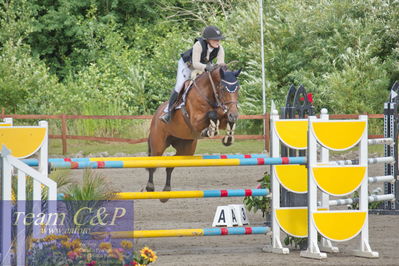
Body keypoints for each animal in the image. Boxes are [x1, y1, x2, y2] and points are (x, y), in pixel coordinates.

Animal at [147, 65, 241, 202]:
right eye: (223, 88)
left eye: (238, 88)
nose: (234, 114)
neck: (209, 95)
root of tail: (156, 115)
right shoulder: (195, 121)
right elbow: (211, 114)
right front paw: (209, 130)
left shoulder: (223, 116)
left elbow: (224, 120)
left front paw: (228, 138)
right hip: (158, 145)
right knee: (153, 163)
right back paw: (150, 187)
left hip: (186, 149)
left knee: (171, 164)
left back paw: (166, 192)